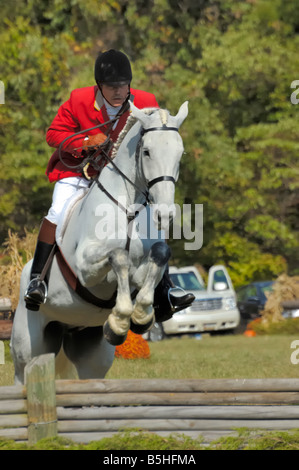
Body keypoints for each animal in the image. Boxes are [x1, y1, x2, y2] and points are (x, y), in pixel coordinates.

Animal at [12, 101, 190, 384]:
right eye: (147, 152)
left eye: (180, 153)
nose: (165, 214)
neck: (128, 207)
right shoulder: (86, 269)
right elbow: (118, 256)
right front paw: (122, 318)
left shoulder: (146, 264)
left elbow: (158, 254)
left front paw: (138, 316)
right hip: (28, 347)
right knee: (23, 373)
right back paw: (36, 289)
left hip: (92, 352)